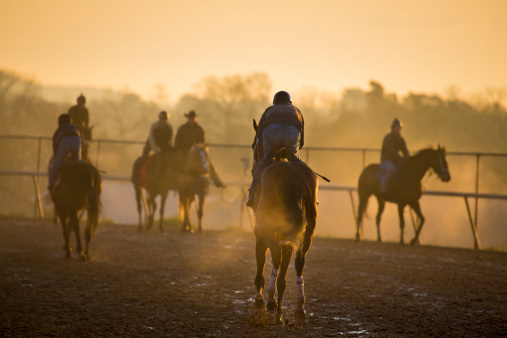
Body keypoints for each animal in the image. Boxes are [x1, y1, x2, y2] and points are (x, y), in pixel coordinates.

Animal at [252, 121, 320, 322]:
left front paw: (261, 298)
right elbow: (286, 262)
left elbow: (262, 262)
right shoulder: (288, 238)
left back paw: (271, 299)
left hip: (269, 229)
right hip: (308, 228)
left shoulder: (260, 235)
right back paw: (299, 304)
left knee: (276, 256)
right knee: (300, 260)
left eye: (254, 145)